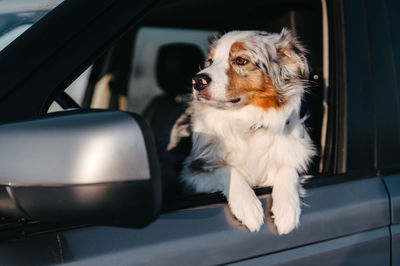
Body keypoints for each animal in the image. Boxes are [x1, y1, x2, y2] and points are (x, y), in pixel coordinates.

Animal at [172, 28, 316, 234]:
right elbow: (226, 170)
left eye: (241, 60)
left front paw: (287, 209)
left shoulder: (294, 154)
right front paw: (248, 206)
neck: (247, 121)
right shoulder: (192, 172)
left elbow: (288, 169)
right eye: (210, 61)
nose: (197, 81)